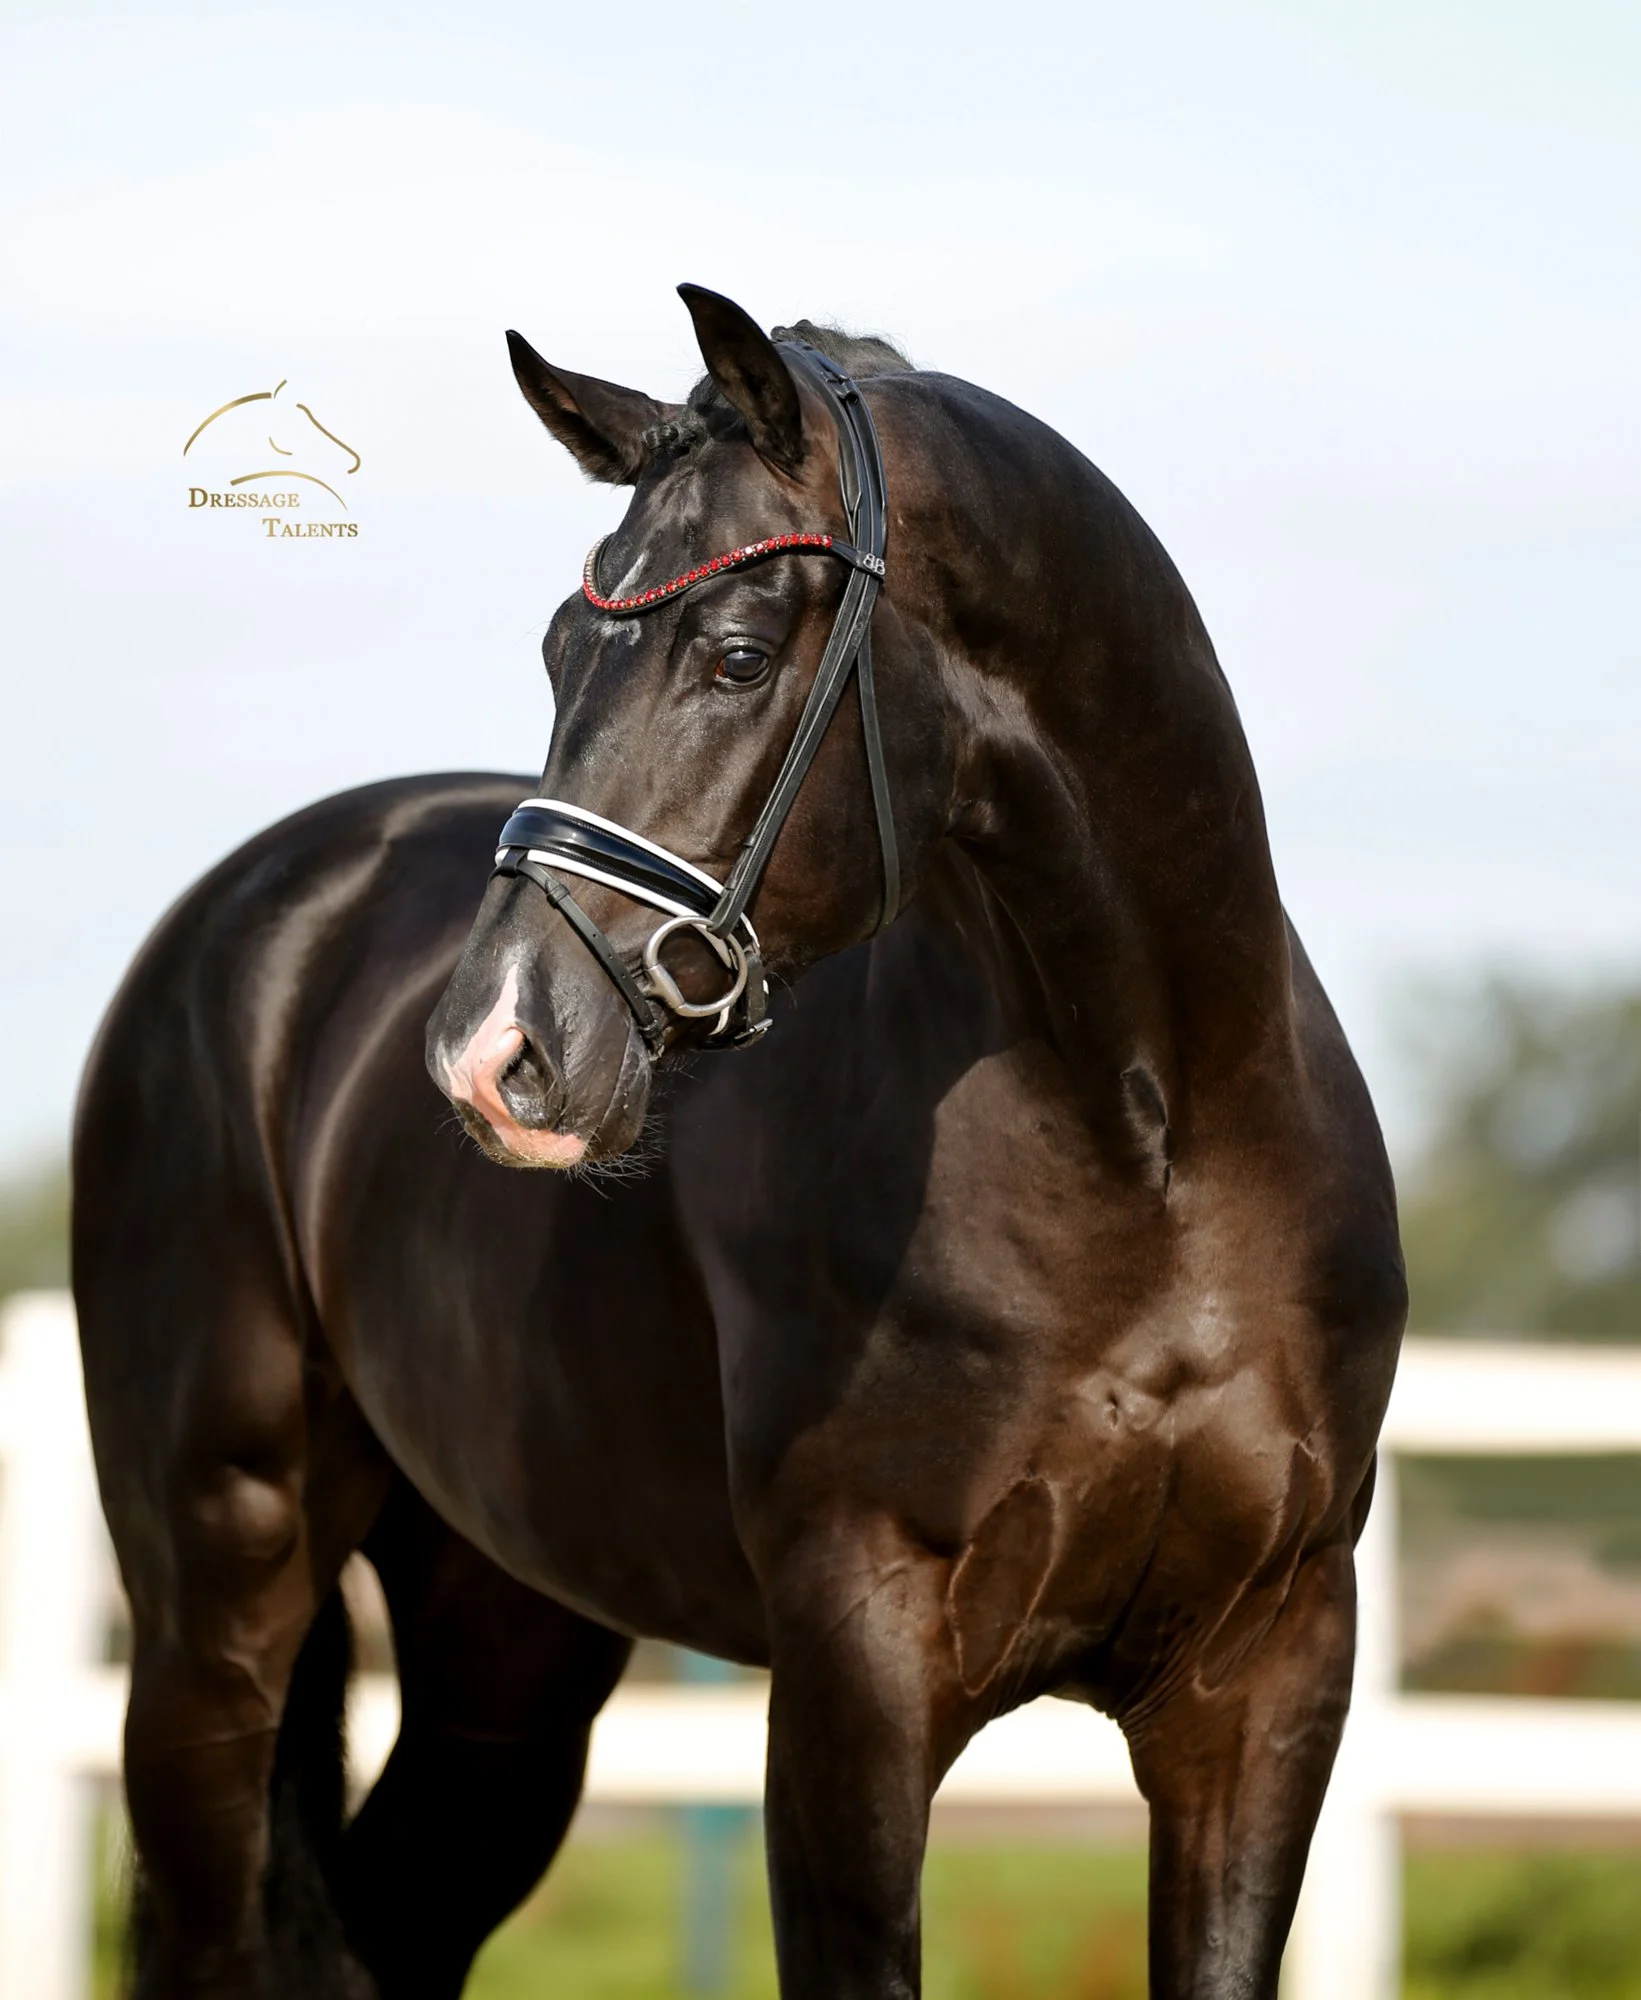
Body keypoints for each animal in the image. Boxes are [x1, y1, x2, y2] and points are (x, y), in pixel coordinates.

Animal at [74, 286, 1405, 1999]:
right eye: (562, 646)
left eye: (737, 653)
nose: (491, 1051)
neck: (1150, 1142)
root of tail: (260, 906)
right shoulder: (858, 1668)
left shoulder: (1265, 1678)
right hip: (213, 1608)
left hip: (501, 1657)